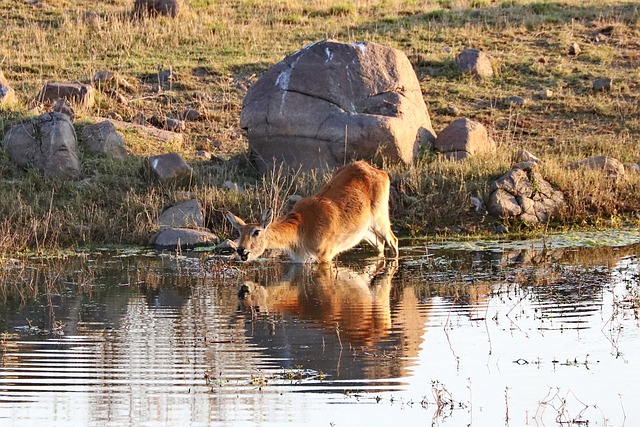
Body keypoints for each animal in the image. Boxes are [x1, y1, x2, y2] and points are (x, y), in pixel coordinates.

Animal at [224, 161, 396, 264]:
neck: (301, 229)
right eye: (239, 231)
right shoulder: (301, 261)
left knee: (393, 241)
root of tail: (381, 172)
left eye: (256, 232)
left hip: (381, 218)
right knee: (380, 245)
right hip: (364, 231)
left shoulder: (325, 256)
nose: (241, 250)